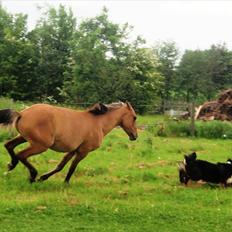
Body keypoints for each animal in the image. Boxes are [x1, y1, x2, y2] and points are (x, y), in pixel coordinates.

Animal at [0, 101, 138, 183]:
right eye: (134, 117)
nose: (135, 136)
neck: (98, 123)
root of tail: (21, 113)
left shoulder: (73, 150)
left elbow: (60, 166)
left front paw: (44, 178)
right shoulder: (83, 151)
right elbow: (72, 167)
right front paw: (66, 182)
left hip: (24, 138)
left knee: (8, 145)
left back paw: (11, 165)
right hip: (40, 145)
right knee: (21, 155)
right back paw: (32, 176)